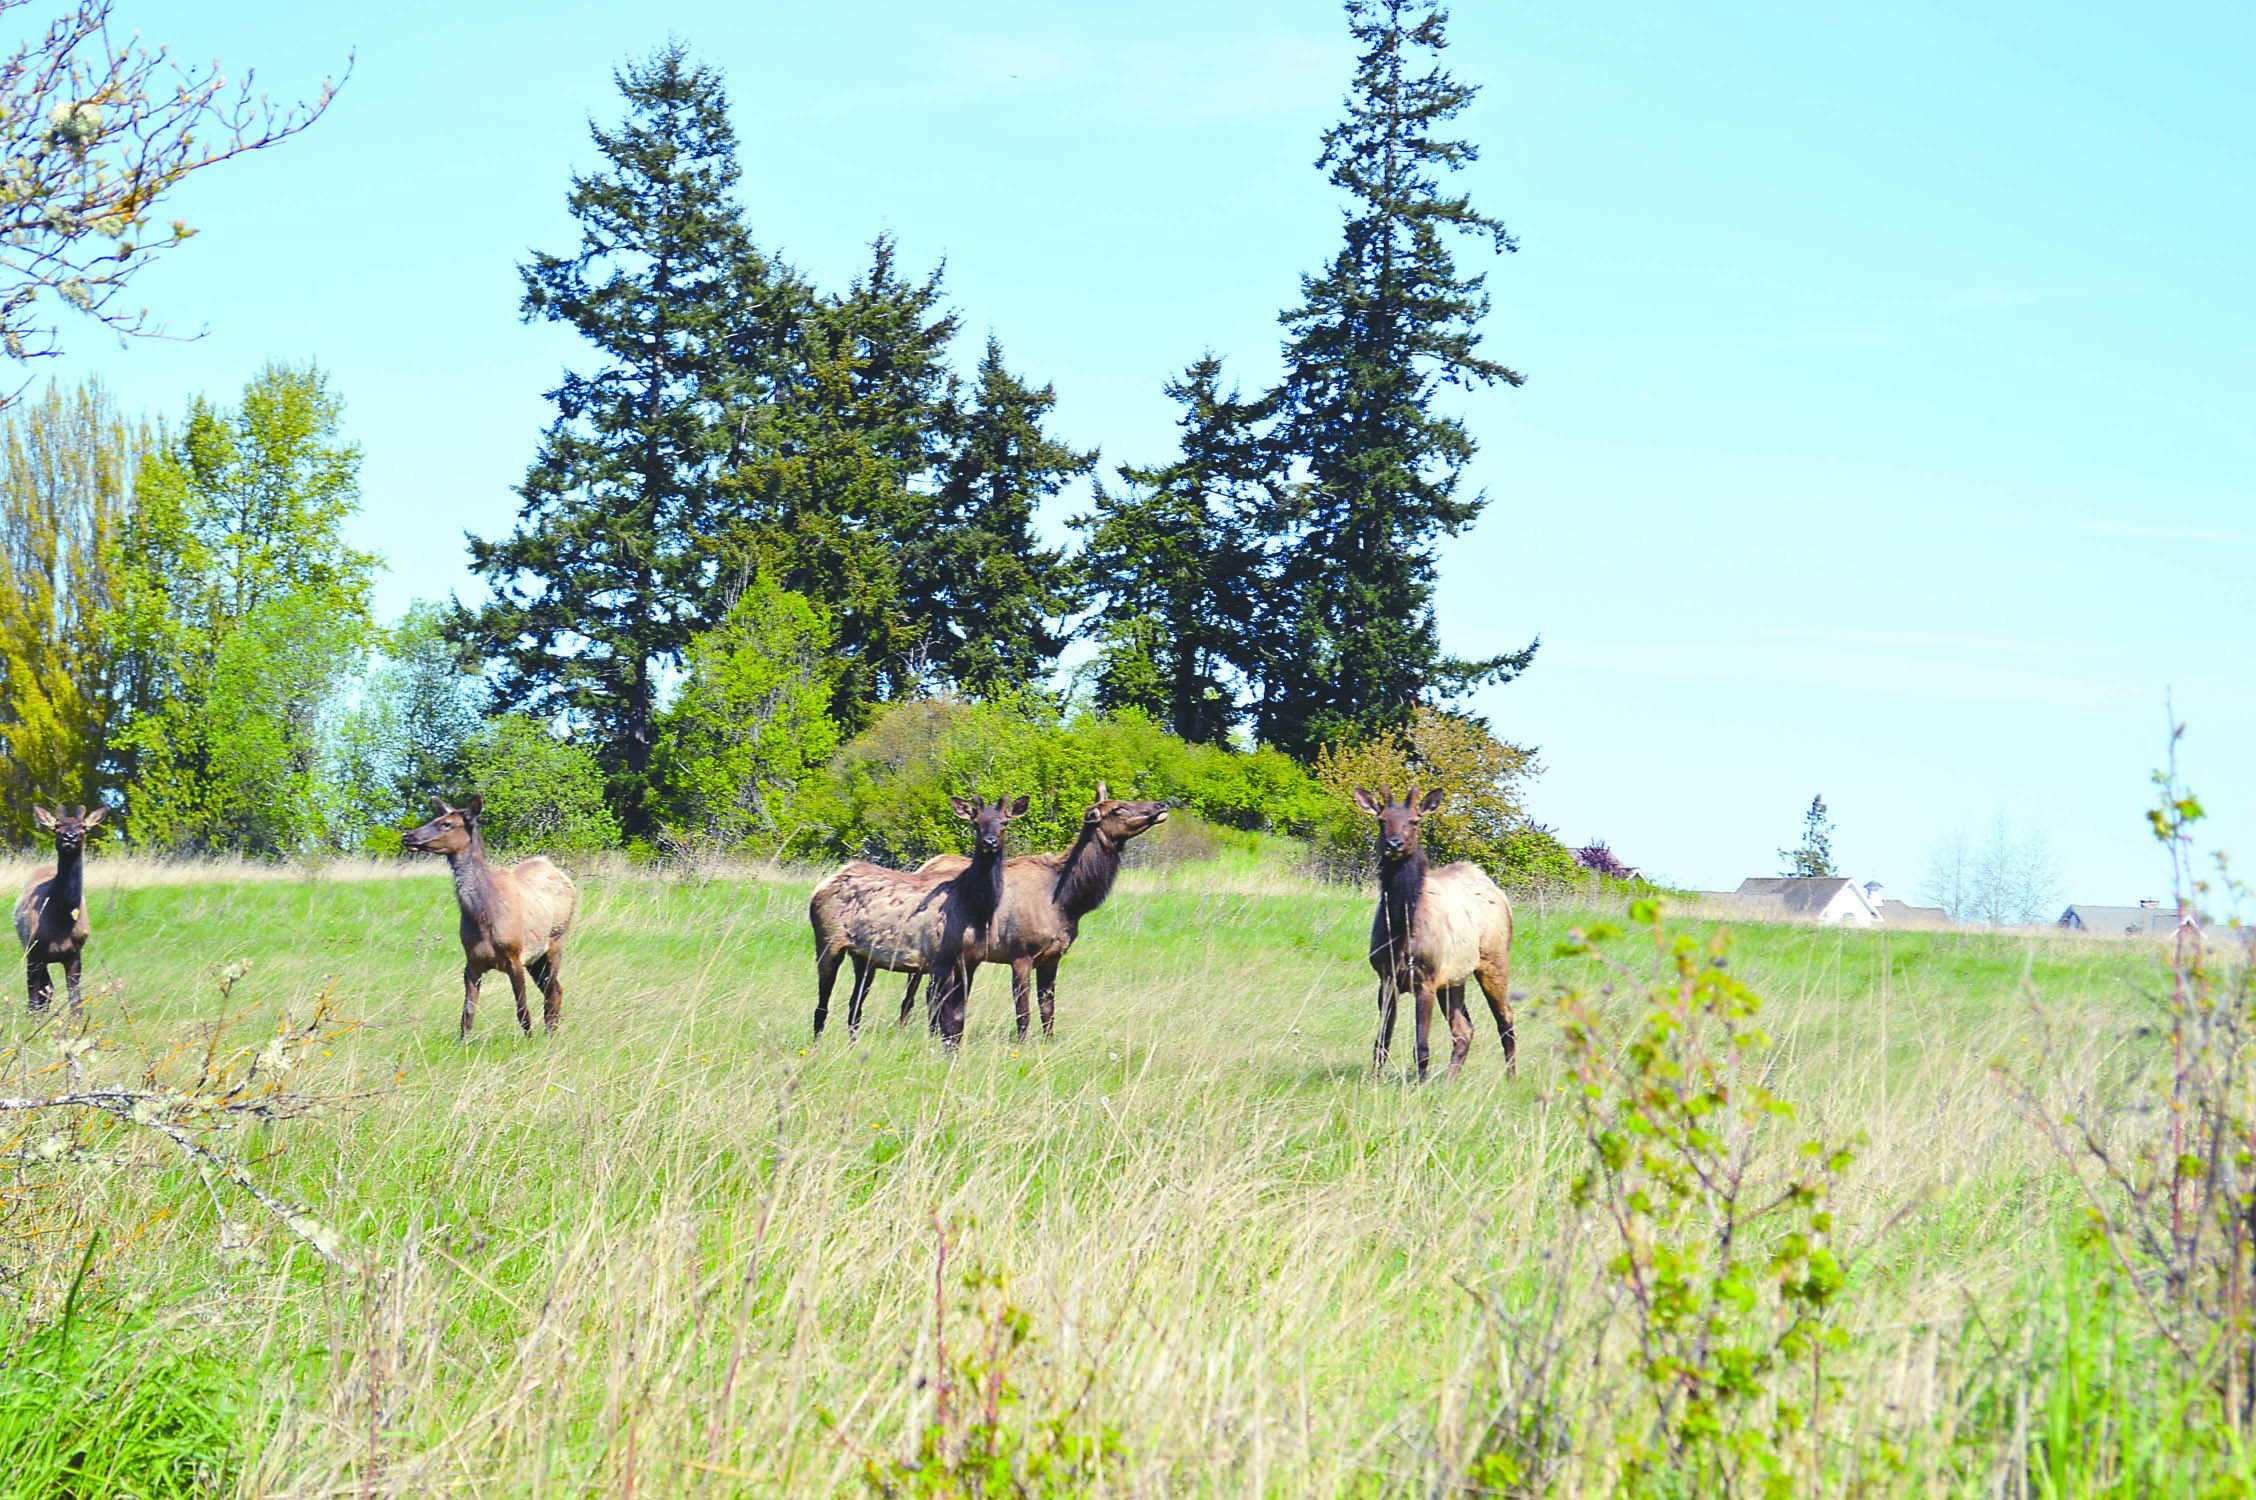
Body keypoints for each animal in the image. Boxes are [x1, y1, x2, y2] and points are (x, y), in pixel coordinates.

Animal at [14, 803, 107, 1010]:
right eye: (57, 826)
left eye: (84, 827)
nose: (69, 836)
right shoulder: (35, 952)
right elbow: (33, 1001)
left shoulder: (74, 954)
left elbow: (76, 1003)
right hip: (29, 949)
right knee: (40, 993)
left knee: (48, 989)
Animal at [406, 793, 582, 1042]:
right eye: (435, 818)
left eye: (446, 823)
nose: (407, 836)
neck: (484, 919)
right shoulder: (471, 963)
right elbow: (468, 1012)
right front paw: (463, 1043)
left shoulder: (515, 957)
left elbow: (522, 1009)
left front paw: (529, 1042)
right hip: (536, 958)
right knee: (555, 988)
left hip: (556, 941)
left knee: (552, 990)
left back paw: (550, 1035)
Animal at [807, 789, 1028, 1046]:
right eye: (975, 823)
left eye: (1004, 822)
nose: (989, 842)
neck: (974, 908)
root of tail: (821, 886)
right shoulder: (940, 960)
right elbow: (946, 1023)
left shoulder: (970, 962)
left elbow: (958, 1022)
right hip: (827, 942)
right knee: (822, 1006)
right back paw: (817, 1047)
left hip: (863, 957)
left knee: (854, 1007)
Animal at [893, 784, 1182, 1042]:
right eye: (1118, 809)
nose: (1161, 805)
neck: (1068, 902)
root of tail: (924, 866)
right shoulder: (1020, 954)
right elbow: (1023, 1012)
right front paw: (1021, 1045)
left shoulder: (1052, 957)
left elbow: (1048, 1010)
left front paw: (1047, 1043)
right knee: (911, 995)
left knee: (931, 994)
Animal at [1353, 784, 1516, 1078]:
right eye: (1382, 820)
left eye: (1414, 821)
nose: (1395, 843)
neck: (1400, 930)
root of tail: (1497, 890)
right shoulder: (1386, 975)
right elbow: (1382, 1041)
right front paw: (1374, 1080)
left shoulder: (1426, 978)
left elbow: (1421, 1048)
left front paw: (1420, 1083)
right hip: (1454, 979)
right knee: (1464, 1029)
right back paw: (1449, 1080)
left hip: (1494, 962)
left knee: (1506, 1018)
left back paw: (1511, 1078)